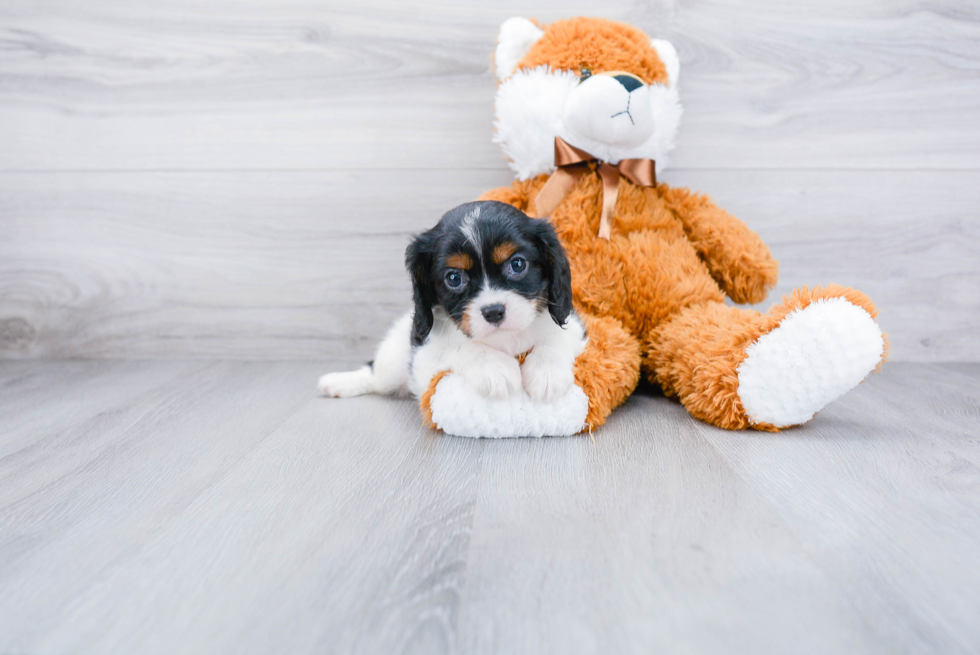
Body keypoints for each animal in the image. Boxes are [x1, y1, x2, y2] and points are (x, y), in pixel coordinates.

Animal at [318, 201, 584, 404]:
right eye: (454, 278)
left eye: (517, 264)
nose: (493, 312)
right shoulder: (424, 359)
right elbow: (458, 346)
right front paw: (494, 367)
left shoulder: (576, 328)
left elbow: (555, 336)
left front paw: (547, 372)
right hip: (393, 362)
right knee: (374, 375)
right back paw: (339, 382)